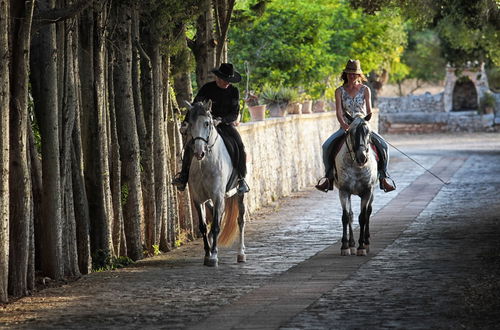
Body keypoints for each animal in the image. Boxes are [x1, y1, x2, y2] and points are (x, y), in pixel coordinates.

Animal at [185, 100, 245, 266]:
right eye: (190, 123)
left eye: (207, 123)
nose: (199, 152)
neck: (205, 164)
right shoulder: (198, 199)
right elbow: (203, 226)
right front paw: (207, 253)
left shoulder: (218, 196)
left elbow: (217, 226)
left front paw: (213, 256)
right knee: (214, 216)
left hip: (238, 193)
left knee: (240, 220)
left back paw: (241, 254)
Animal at [334, 113, 376, 255]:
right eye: (351, 132)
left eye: (369, 132)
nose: (362, 157)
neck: (358, 166)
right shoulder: (344, 191)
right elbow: (346, 217)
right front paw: (345, 246)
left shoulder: (368, 191)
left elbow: (363, 217)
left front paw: (362, 246)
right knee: (351, 215)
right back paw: (351, 244)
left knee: (368, 212)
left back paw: (367, 242)